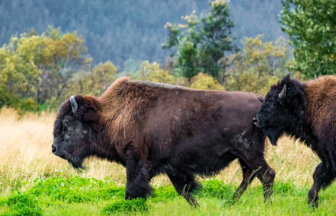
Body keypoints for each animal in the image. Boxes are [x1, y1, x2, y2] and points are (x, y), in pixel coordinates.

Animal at [51, 77, 274, 205]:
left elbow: (132, 189)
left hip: (249, 152)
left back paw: (265, 205)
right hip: (243, 156)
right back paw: (231, 202)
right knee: (250, 175)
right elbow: (183, 189)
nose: (54, 149)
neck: (112, 115)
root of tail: (258, 100)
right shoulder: (171, 166)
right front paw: (197, 206)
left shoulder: (136, 161)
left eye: (67, 123)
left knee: (266, 174)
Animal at [255, 74, 336, 208]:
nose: (256, 120)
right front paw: (312, 201)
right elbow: (318, 174)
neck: (306, 105)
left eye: (272, 102)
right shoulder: (326, 155)